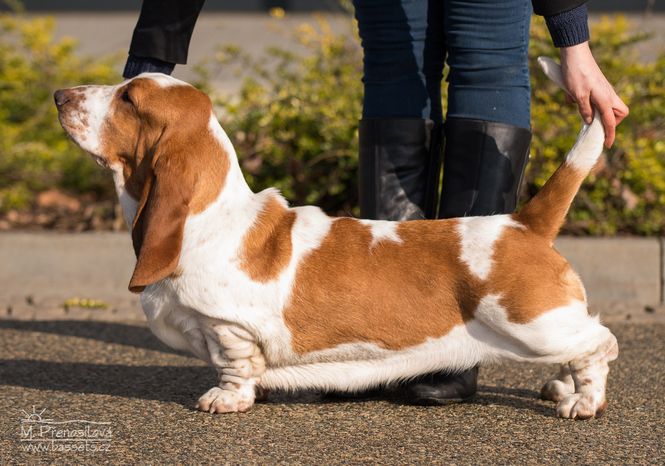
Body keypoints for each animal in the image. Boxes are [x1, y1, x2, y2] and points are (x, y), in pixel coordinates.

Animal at [55, 57, 616, 418]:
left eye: (129, 97)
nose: (59, 95)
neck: (211, 218)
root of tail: (523, 223)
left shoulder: (230, 328)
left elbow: (235, 367)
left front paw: (225, 400)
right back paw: (561, 387)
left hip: (532, 325)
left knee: (600, 344)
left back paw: (582, 402)